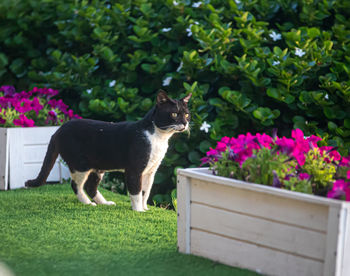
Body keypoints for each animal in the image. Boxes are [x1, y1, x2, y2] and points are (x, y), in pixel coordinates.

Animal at [26, 90, 191, 211]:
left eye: (187, 114)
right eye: (174, 114)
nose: (185, 123)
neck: (159, 138)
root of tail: (57, 131)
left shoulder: (151, 171)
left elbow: (146, 192)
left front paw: (145, 209)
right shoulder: (134, 169)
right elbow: (136, 192)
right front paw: (138, 211)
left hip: (97, 167)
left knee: (90, 186)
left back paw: (104, 203)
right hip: (80, 164)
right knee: (76, 185)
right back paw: (88, 204)